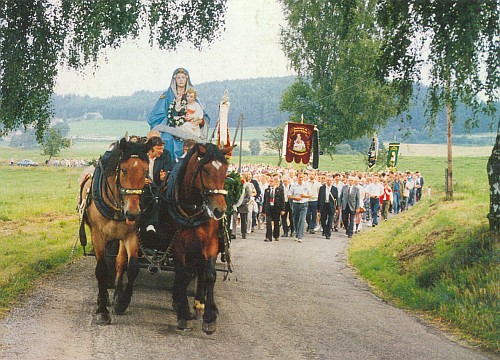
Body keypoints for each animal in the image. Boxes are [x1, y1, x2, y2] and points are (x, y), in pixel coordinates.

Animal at [78, 137, 151, 324]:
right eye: (123, 170)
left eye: (146, 171)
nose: (132, 213)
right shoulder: (98, 235)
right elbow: (101, 269)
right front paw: (102, 310)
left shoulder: (131, 234)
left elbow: (131, 267)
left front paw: (122, 302)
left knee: (119, 262)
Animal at [161, 142, 235, 334]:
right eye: (206, 170)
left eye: (225, 170)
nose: (219, 210)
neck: (192, 210)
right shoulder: (178, 244)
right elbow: (182, 274)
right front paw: (183, 313)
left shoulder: (210, 243)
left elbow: (209, 275)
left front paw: (210, 317)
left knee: (201, 271)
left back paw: (200, 303)